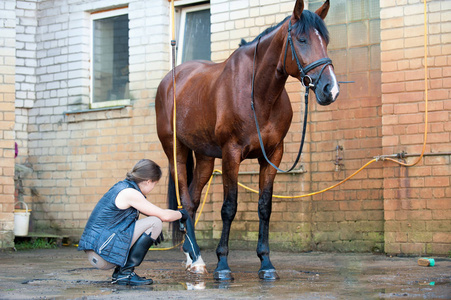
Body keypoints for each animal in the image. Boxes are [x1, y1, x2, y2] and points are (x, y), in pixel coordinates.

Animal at [155, 0, 340, 282]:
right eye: (302, 39)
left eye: (326, 41)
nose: (330, 89)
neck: (258, 94)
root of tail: (170, 79)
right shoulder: (231, 154)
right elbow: (229, 207)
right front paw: (223, 265)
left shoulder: (273, 155)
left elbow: (265, 207)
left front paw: (266, 263)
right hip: (175, 151)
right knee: (184, 200)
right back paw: (198, 260)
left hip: (205, 158)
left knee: (193, 201)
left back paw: (191, 255)